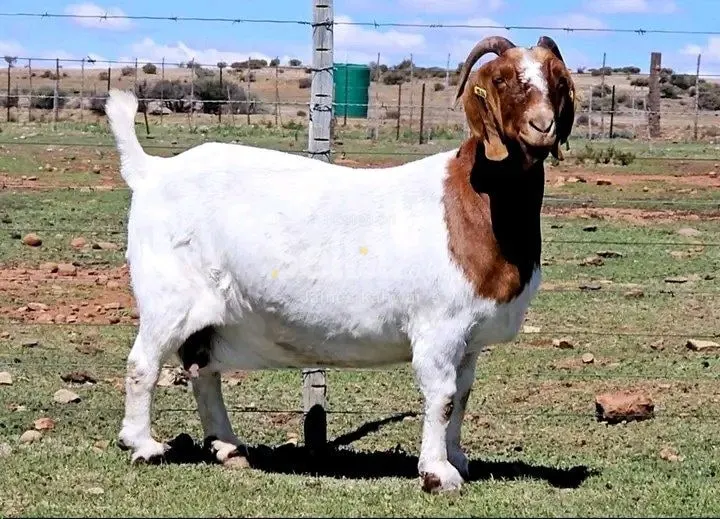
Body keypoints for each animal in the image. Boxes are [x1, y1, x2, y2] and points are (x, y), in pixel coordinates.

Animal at [106, 35, 575, 493]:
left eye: (557, 79)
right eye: (501, 79)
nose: (542, 126)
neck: (474, 202)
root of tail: (152, 172)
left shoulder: (470, 338)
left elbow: (462, 395)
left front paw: (457, 459)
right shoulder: (439, 326)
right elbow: (441, 397)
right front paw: (437, 474)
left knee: (202, 369)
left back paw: (229, 447)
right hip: (168, 296)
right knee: (143, 363)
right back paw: (144, 444)